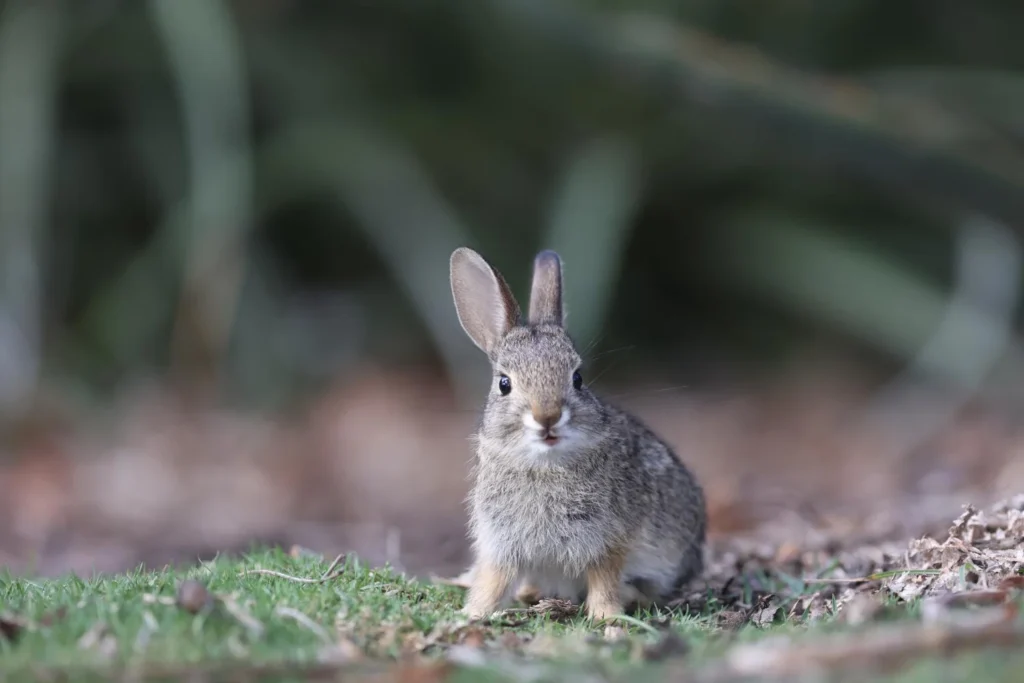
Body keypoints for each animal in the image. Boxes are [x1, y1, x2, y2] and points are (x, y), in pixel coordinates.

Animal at [448, 248, 704, 622]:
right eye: (504, 383)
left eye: (578, 378)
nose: (547, 417)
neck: (543, 465)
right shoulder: (501, 543)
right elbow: (494, 580)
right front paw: (474, 613)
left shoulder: (608, 541)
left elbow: (605, 580)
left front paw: (607, 617)